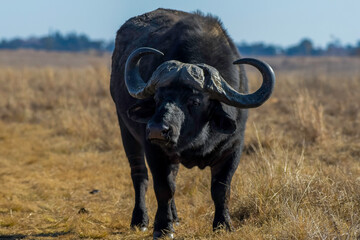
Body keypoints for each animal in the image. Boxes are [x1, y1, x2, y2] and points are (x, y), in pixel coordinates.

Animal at [109, 8, 276, 239]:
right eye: (158, 98)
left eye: (194, 101)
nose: (157, 130)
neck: (197, 139)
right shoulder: (155, 150)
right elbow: (164, 188)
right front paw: (162, 228)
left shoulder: (233, 148)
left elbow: (221, 189)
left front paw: (223, 224)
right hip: (126, 130)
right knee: (139, 175)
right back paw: (140, 220)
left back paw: (175, 217)